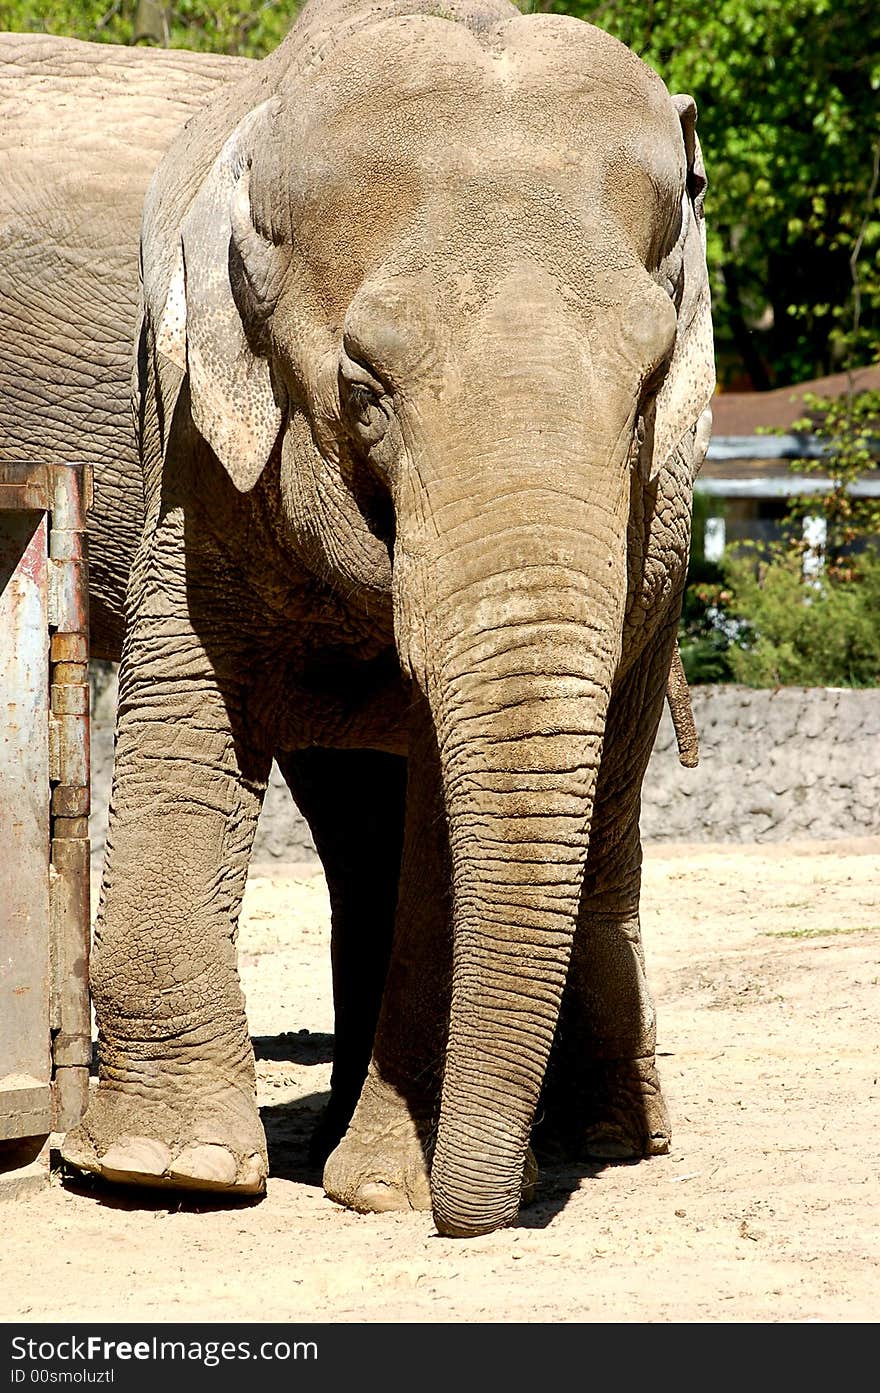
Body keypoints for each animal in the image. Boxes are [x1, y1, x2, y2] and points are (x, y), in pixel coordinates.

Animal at [58, 0, 712, 1242]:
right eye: (366, 388)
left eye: (650, 389)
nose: (472, 1217)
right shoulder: (201, 444)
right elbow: (186, 707)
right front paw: (169, 1171)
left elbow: (443, 813)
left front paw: (385, 1188)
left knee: (594, 810)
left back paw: (605, 1139)